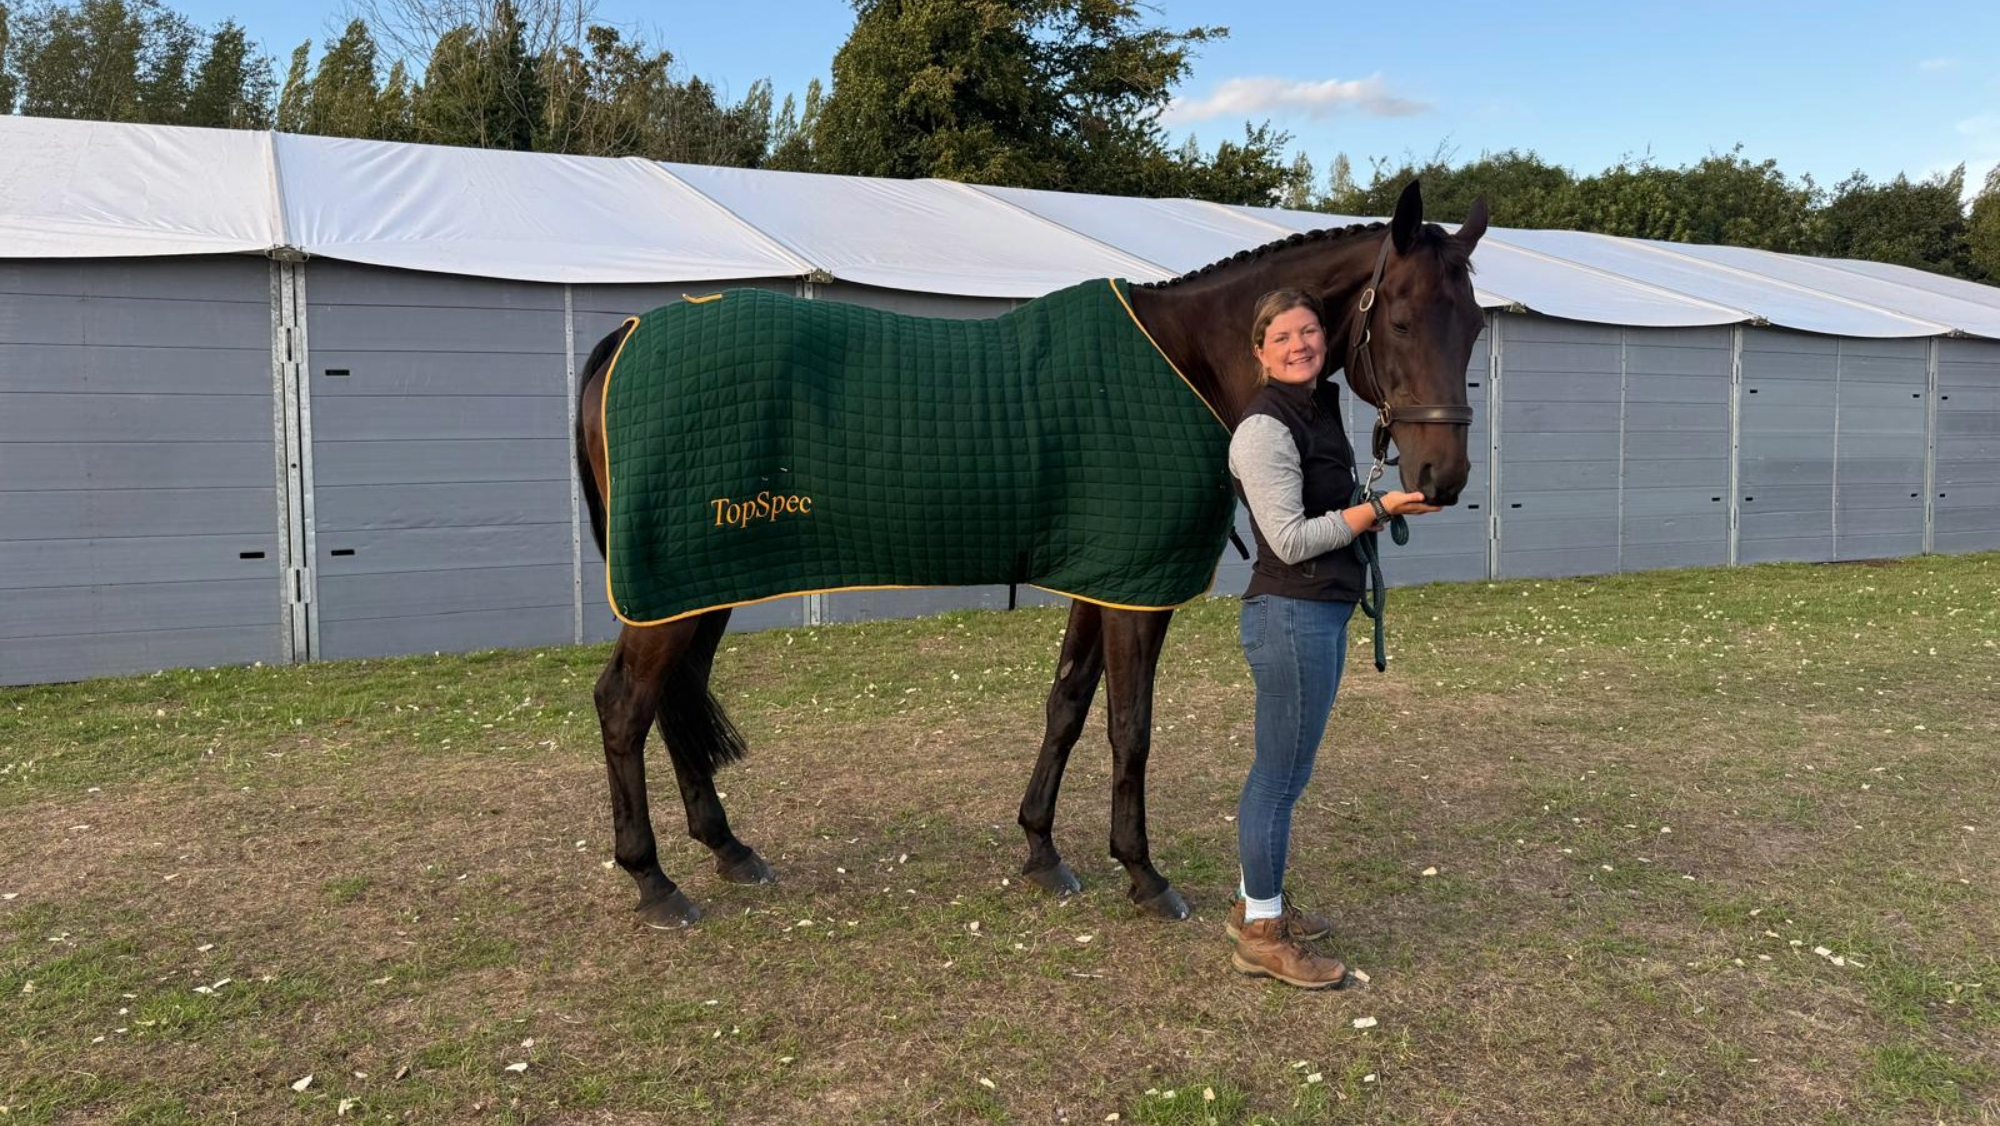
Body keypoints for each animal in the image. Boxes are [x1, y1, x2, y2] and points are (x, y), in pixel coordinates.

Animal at [574, 180, 1490, 928]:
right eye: (1400, 319)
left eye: (1475, 327)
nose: (1441, 478)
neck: (1185, 360)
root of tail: (627, 336)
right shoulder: (1139, 593)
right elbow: (1130, 729)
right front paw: (1145, 875)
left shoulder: (1108, 579)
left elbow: (1068, 706)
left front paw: (1042, 851)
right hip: (676, 588)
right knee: (625, 705)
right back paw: (654, 882)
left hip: (703, 582)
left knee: (673, 703)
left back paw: (728, 849)